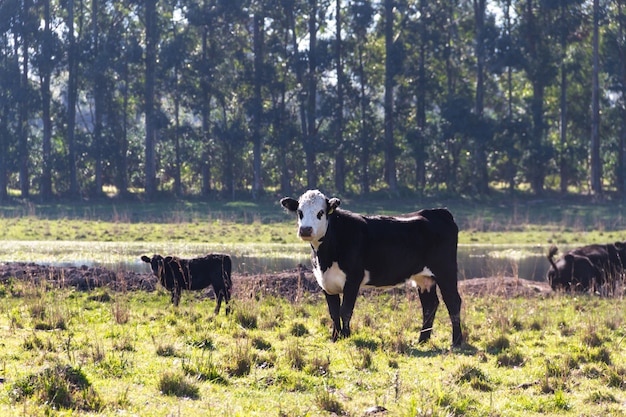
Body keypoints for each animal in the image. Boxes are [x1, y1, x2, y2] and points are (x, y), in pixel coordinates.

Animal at [280, 190, 460, 346]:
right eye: (300, 212)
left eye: (320, 213)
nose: (305, 230)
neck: (325, 256)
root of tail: (438, 212)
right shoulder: (325, 282)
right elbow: (333, 312)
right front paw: (335, 338)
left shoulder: (353, 280)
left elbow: (345, 310)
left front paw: (346, 336)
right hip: (423, 277)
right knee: (430, 305)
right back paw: (422, 340)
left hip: (446, 270)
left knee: (453, 301)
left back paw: (456, 342)